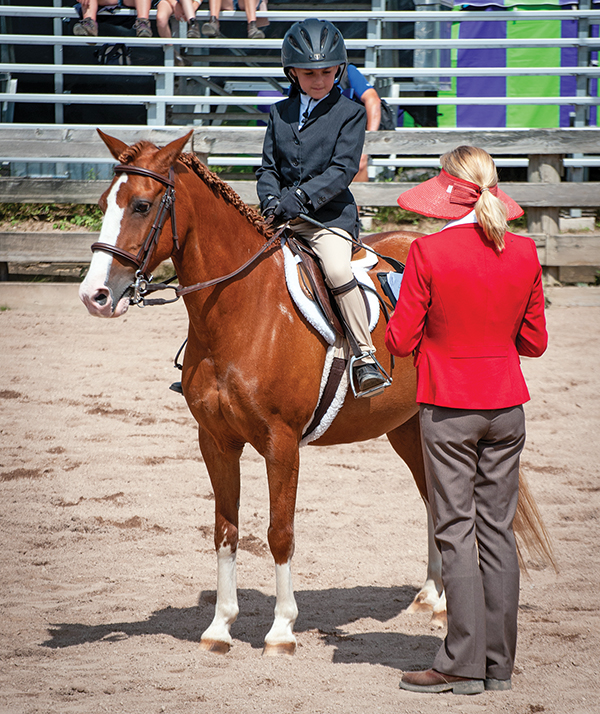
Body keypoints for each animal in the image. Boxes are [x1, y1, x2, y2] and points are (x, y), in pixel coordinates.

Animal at [79, 131, 552, 652]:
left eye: (142, 205)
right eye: (103, 204)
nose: (95, 296)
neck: (242, 311)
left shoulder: (281, 444)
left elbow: (279, 532)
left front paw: (281, 629)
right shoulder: (216, 442)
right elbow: (225, 530)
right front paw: (220, 626)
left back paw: (444, 605)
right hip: (409, 429)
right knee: (434, 502)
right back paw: (430, 597)